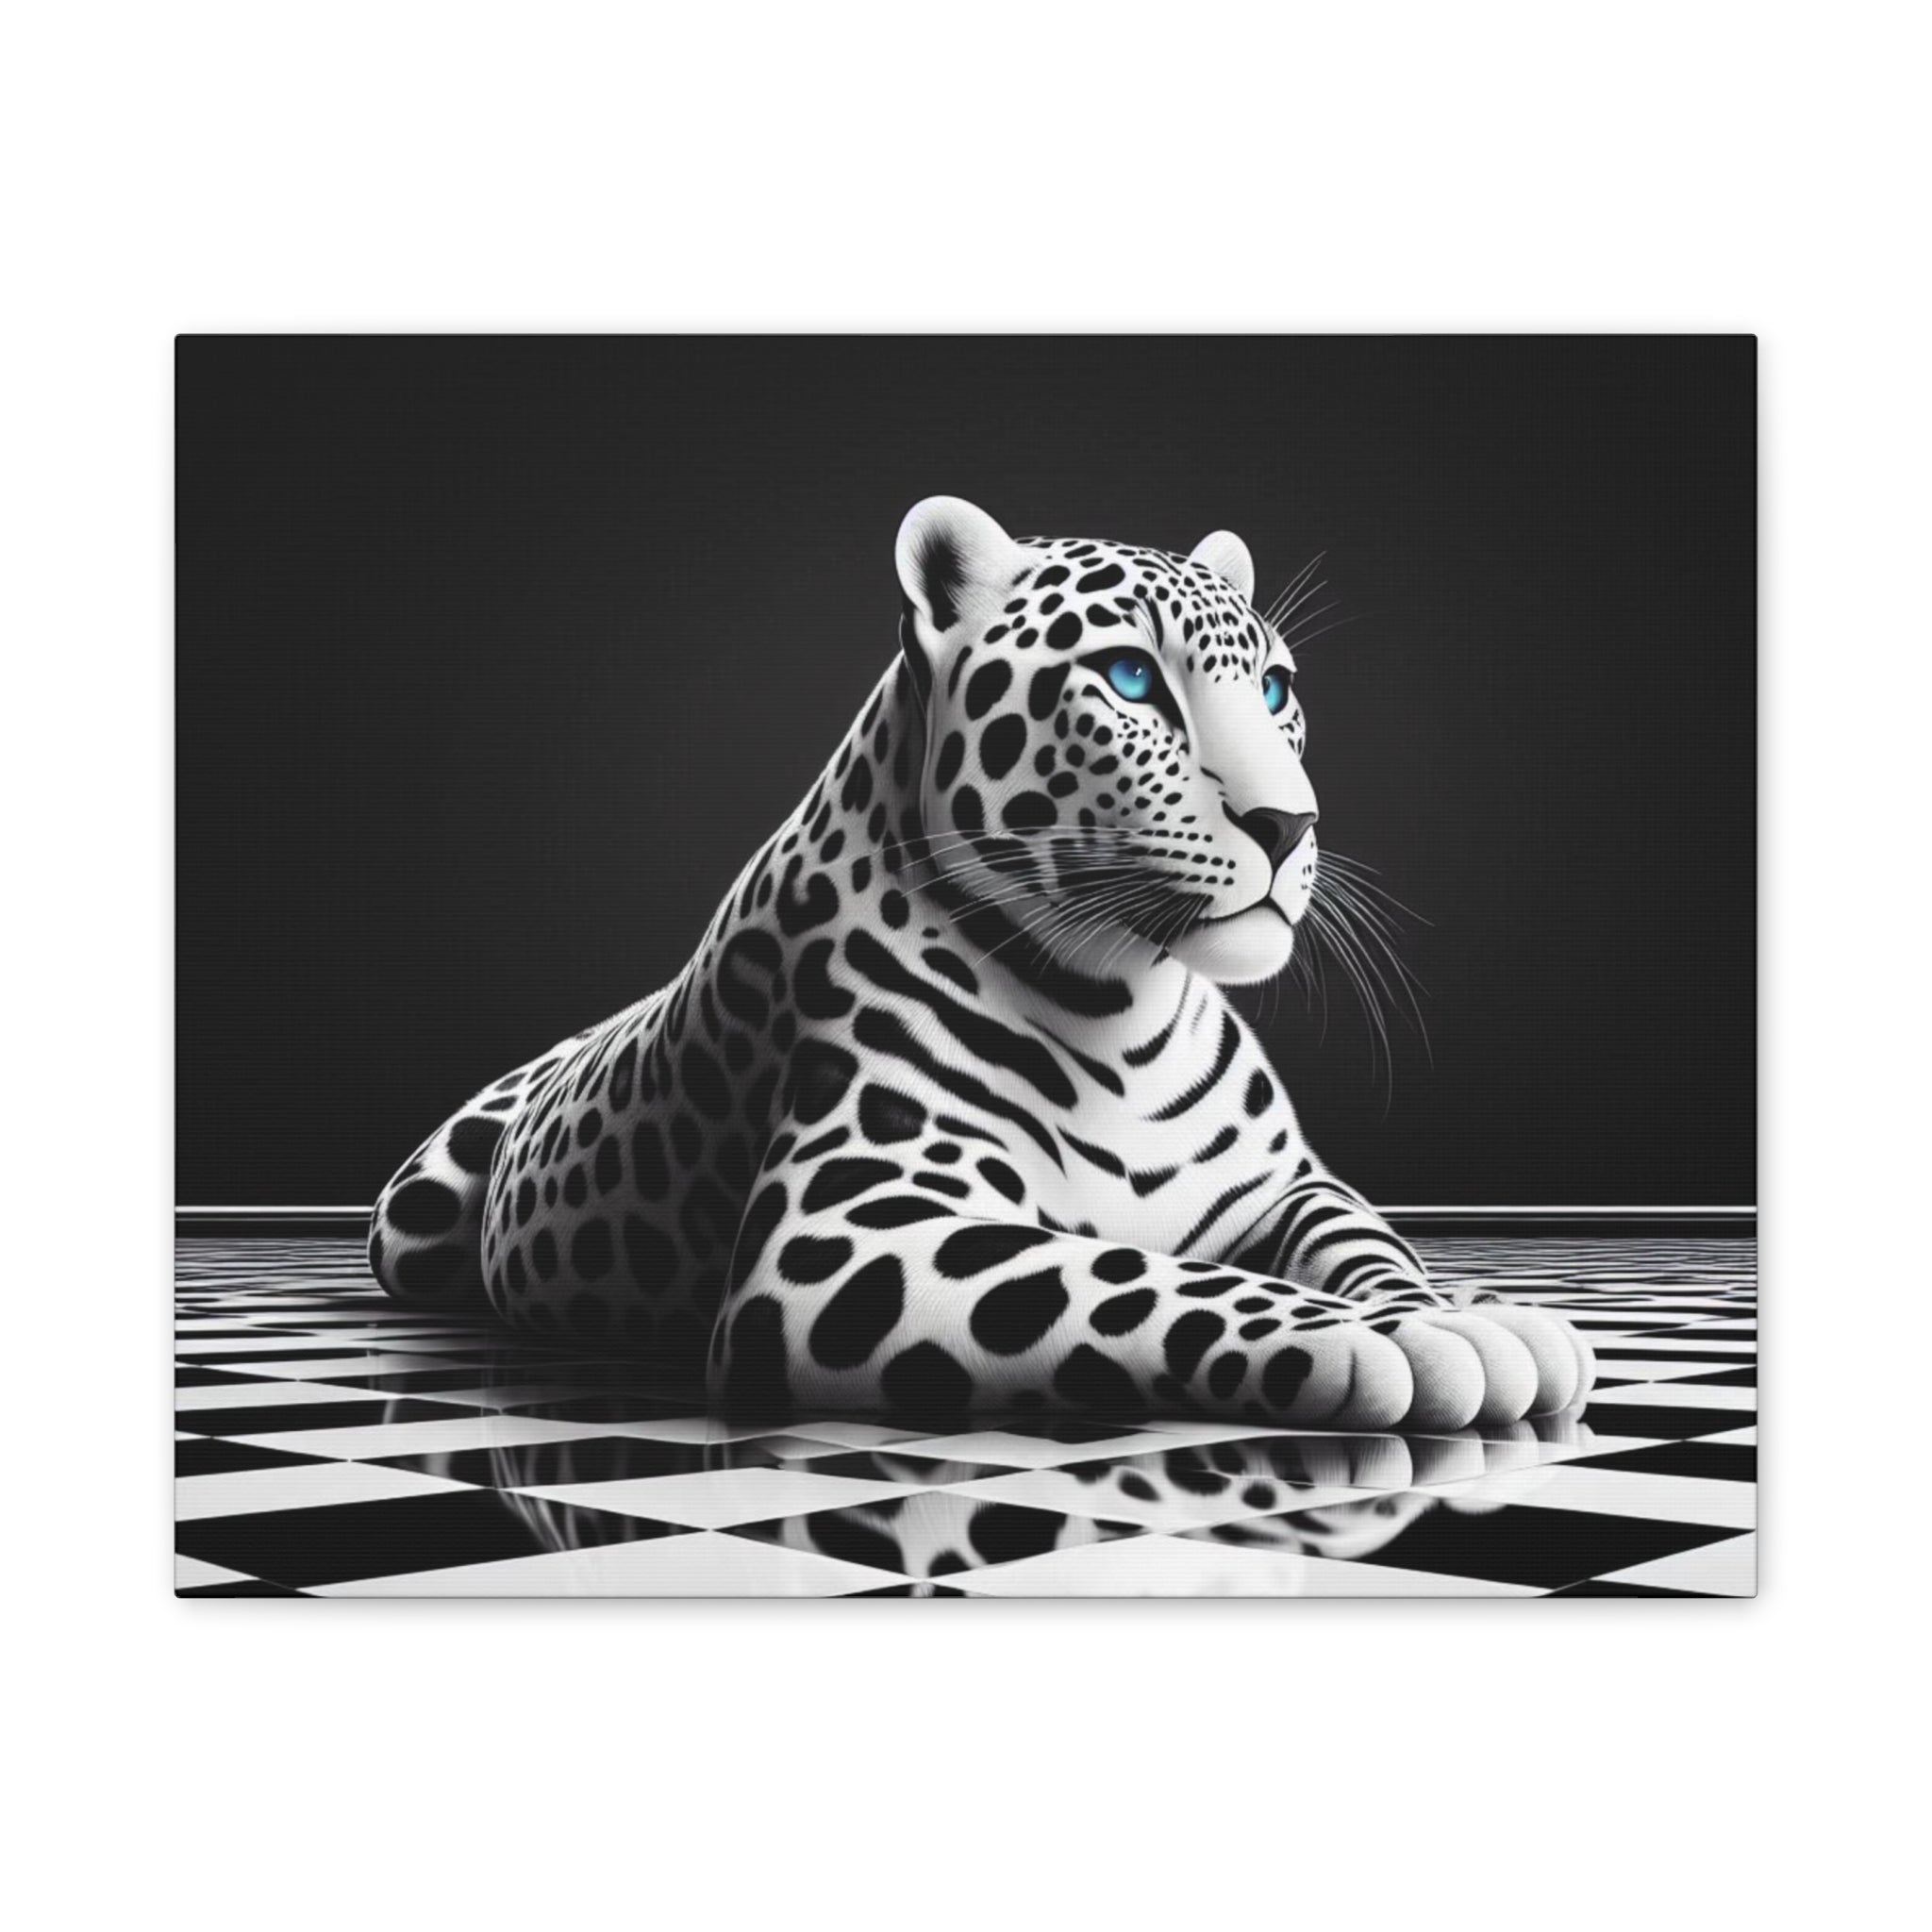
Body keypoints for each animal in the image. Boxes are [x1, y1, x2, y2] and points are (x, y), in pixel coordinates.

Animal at [369, 496, 1596, 1433]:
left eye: (1275, 691)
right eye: (1129, 680)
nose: (1287, 824)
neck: (1128, 1007)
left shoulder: (1286, 1186)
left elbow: (1365, 1241)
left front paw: (1452, 1303)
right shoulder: (847, 1232)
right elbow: (1141, 1273)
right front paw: (1400, 1340)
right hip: (411, 1217)